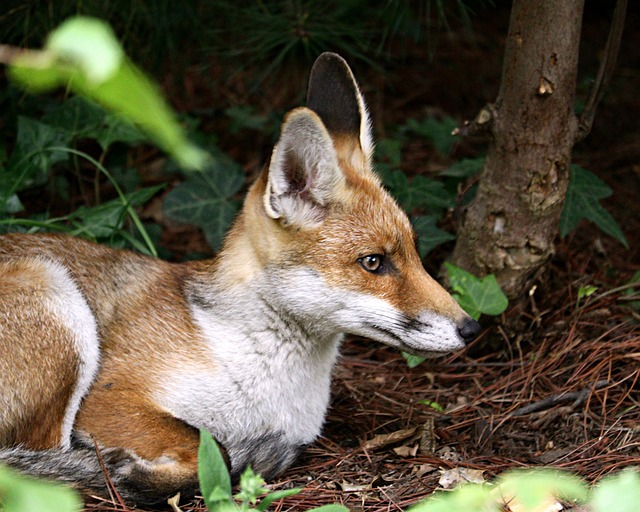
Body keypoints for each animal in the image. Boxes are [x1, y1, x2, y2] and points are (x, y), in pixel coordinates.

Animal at [0, 53, 480, 504]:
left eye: (415, 252)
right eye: (374, 262)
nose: (472, 328)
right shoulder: (109, 397)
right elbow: (213, 448)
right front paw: (139, 474)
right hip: (55, 299)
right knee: (38, 469)